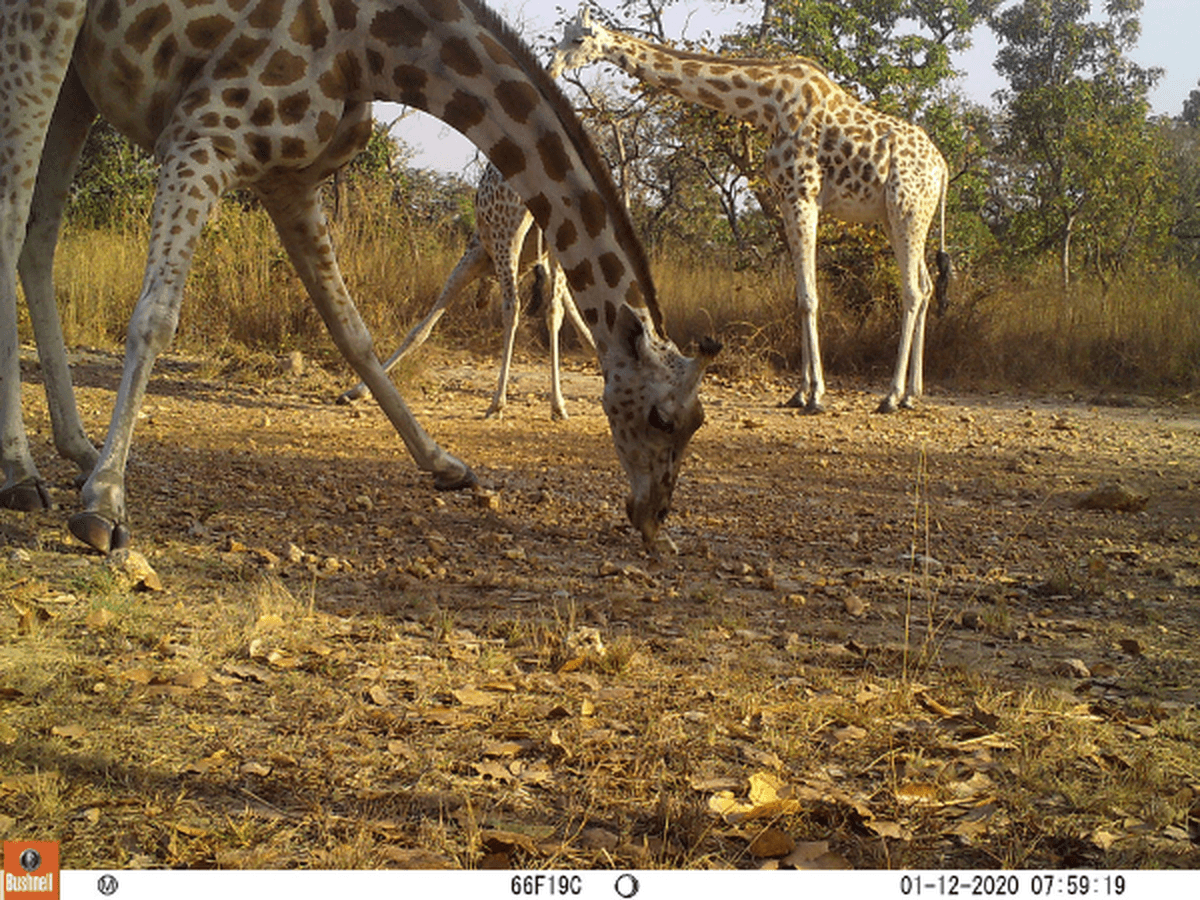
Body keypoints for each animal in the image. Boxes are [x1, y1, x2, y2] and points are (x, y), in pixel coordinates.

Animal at [339, 162, 596, 419]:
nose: (479, 302)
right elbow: (569, 312)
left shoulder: (474, 255)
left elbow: (420, 330)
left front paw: (356, 391)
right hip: (555, 236)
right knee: (552, 310)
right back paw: (558, 405)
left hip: (506, 234)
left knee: (512, 307)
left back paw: (497, 403)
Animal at [552, 7, 950, 414]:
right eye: (562, 34)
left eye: (578, 39)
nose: (551, 67)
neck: (767, 104)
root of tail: (942, 168)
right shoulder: (786, 196)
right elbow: (799, 296)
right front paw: (799, 392)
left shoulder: (803, 195)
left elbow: (809, 297)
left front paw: (817, 396)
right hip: (898, 216)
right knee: (926, 285)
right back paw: (912, 393)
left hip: (907, 208)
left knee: (912, 291)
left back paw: (892, 396)